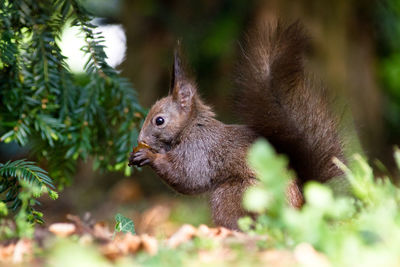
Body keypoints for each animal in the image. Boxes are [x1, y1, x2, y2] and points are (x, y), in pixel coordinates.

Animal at [128, 21, 344, 230]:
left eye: (159, 120)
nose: (140, 140)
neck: (192, 127)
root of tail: (301, 211)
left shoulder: (200, 150)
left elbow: (187, 176)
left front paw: (148, 156)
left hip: (236, 195)